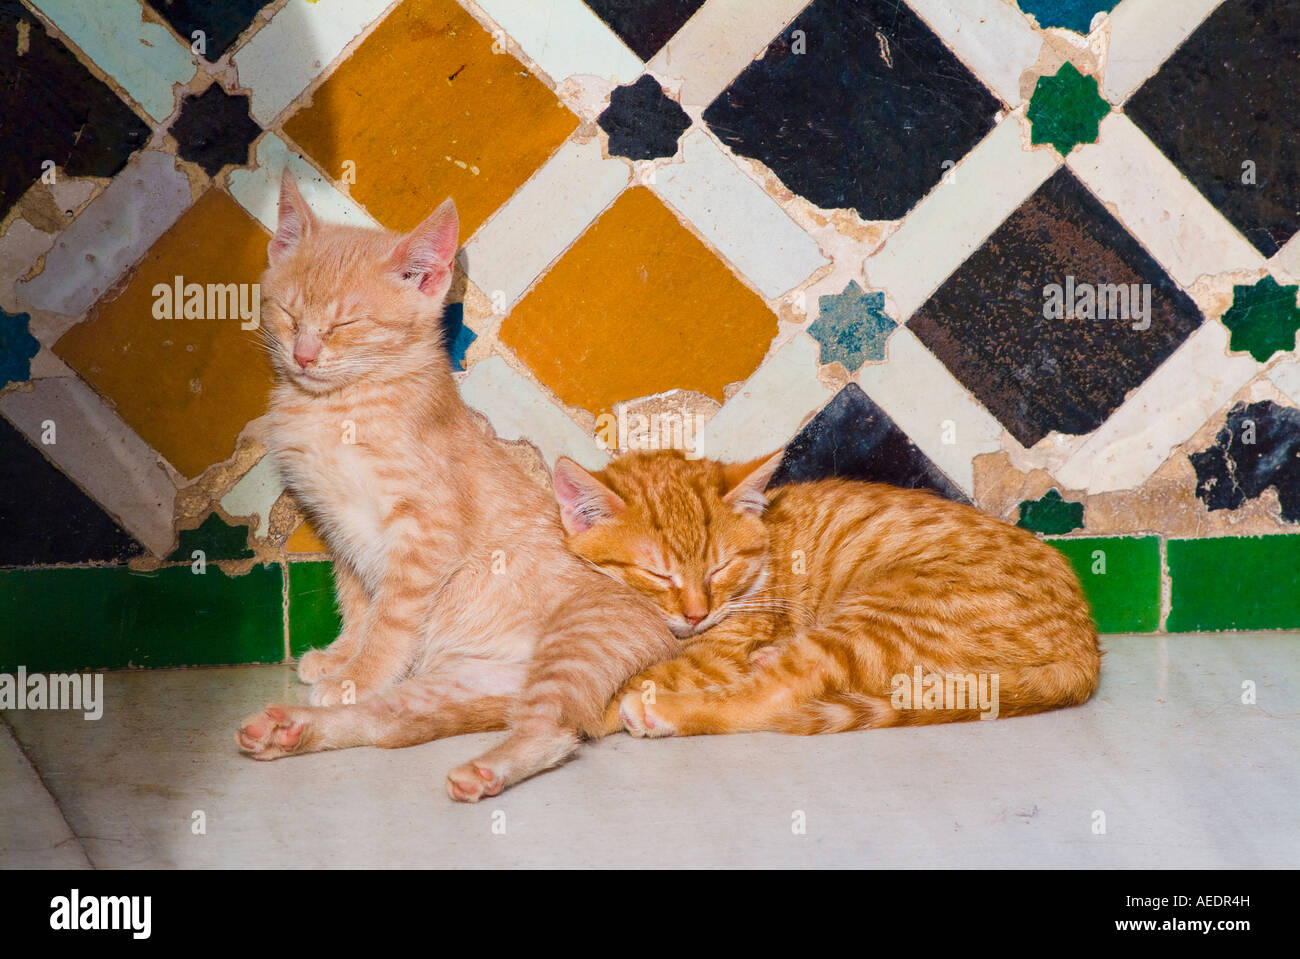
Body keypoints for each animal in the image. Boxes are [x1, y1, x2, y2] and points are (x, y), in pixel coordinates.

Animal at [553, 452, 1102, 738]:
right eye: (659, 574)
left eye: (720, 568)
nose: (695, 614)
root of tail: (1086, 650)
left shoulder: (716, 654)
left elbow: (627, 685)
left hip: (880, 619)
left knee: (774, 695)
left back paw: (664, 711)